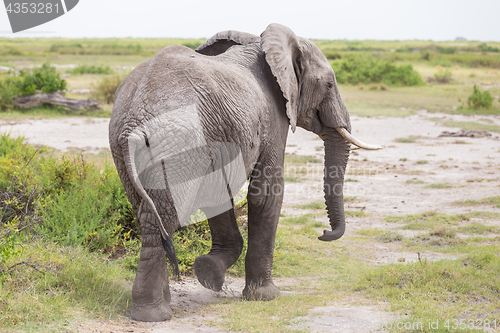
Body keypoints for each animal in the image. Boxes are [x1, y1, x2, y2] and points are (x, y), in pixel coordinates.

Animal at [109, 24, 382, 322]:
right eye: (330, 84)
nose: (323, 233)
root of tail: (134, 120)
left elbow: (218, 193)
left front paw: (209, 272)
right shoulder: (274, 117)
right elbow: (267, 193)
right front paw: (265, 296)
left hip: (129, 147)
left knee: (148, 215)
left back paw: (157, 307)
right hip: (175, 144)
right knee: (164, 216)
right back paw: (154, 314)